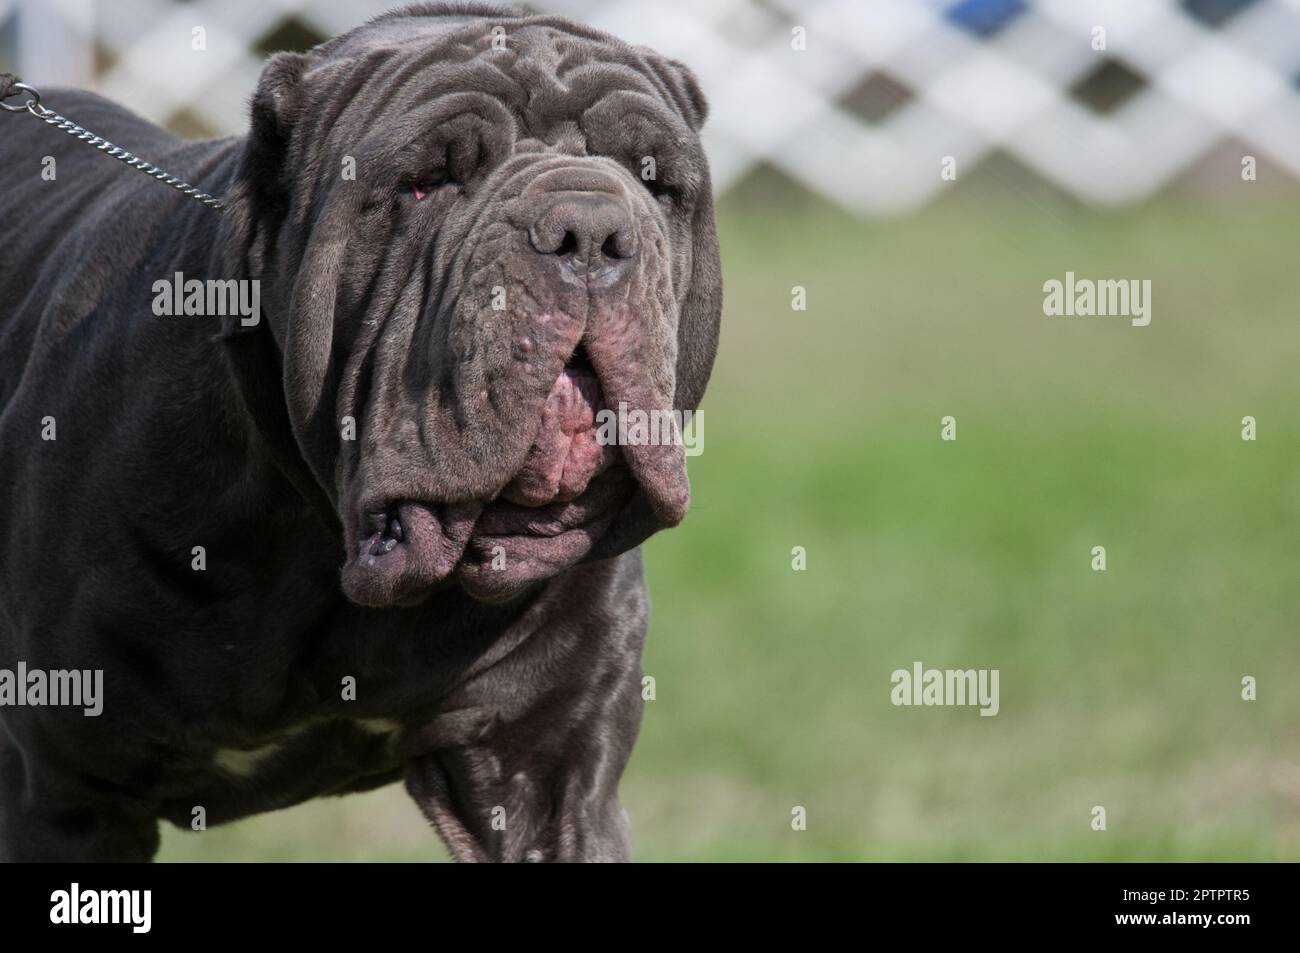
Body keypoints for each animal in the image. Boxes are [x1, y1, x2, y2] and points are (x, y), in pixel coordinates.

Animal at [0, 1, 722, 863]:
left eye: (655, 180)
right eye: (427, 181)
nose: (588, 230)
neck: (327, 545)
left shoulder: (553, 777)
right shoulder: (67, 796)